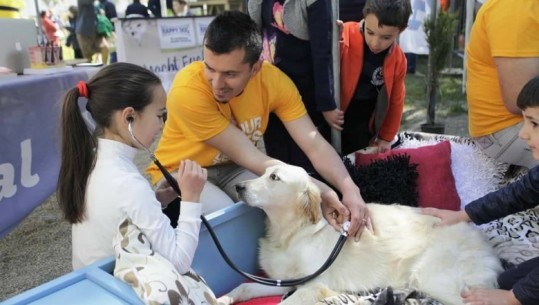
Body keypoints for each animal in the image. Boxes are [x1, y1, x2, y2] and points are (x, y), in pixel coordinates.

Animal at [217, 165, 504, 302]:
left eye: (275, 178)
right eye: (263, 173)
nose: (239, 186)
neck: (291, 233)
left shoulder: (314, 285)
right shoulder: (285, 281)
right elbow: (244, 287)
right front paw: (223, 298)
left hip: (436, 280)